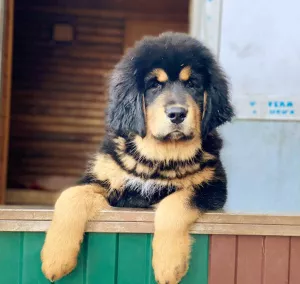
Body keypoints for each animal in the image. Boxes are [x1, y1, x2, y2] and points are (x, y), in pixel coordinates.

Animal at [41, 32, 234, 282]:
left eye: (192, 83)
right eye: (154, 85)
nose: (177, 114)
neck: (159, 156)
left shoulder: (212, 187)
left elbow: (175, 203)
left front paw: (169, 265)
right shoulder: (105, 183)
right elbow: (70, 196)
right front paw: (56, 257)